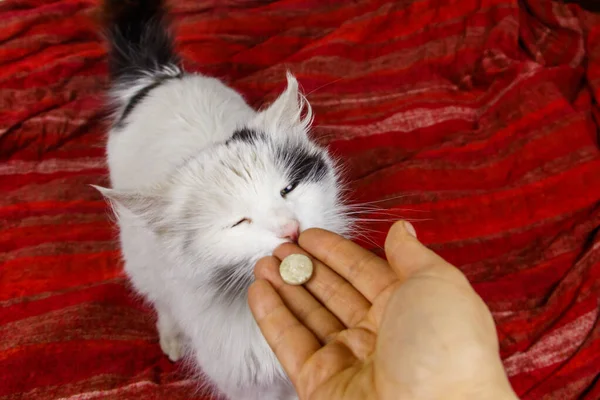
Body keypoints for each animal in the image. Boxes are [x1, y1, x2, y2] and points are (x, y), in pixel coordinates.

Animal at [94, 0, 352, 400]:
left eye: (288, 189)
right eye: (238, 222)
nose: (290, 228)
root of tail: (159, 78)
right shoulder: (245, 383)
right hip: (140, 258)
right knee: (160, 300)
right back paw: (173, 338)